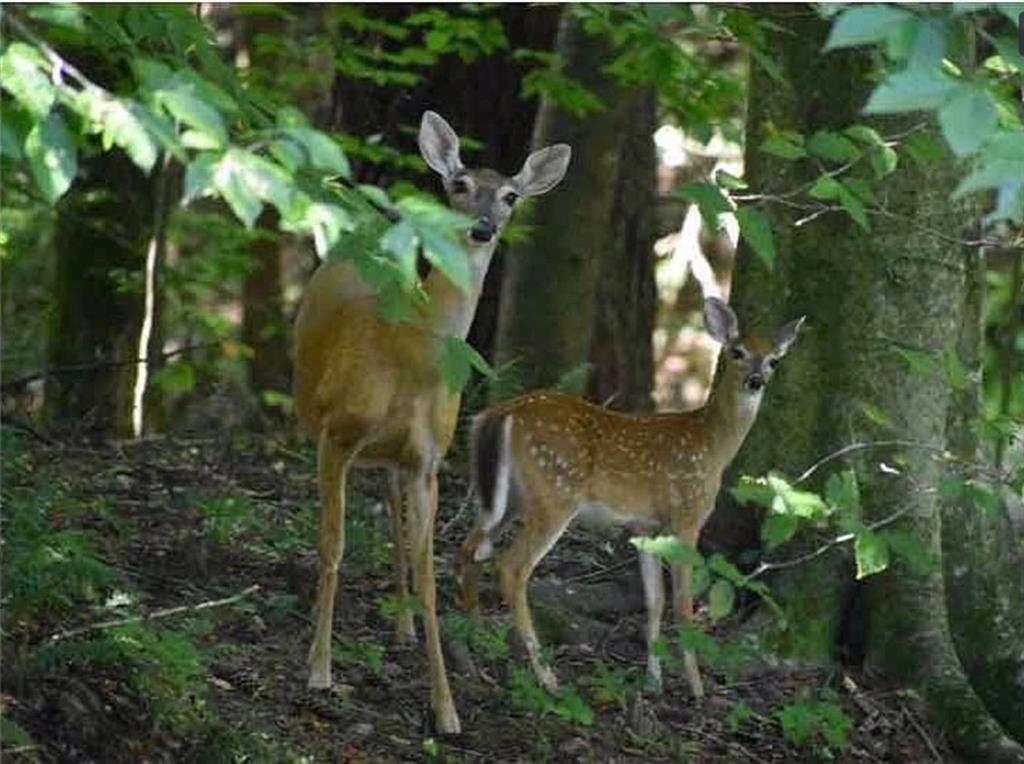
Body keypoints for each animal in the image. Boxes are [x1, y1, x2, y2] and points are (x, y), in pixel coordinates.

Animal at [292, 111, 573, 733]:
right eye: (459, 184)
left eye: (512, 195)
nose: (484, 228)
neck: (410, 357)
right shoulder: (337, 433)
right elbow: (333, 546)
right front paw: (319, 669)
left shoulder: (429, 462)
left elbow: (428, 575)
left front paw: (446, 709)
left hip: (398, 460)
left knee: (395, 518)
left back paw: (403, 629)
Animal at [456, 296, 798, 696]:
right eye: (737, 351)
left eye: (774, 359)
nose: (755, 381)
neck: (711, 445)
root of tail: (502, 413)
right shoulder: (687, 514)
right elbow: (682, 602)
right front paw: (696, 687)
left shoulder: (644, 526)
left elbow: (655, 600)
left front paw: (653, 680)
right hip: (554, 493)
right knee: (511, 567)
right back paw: (547, 677)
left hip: (507, 497)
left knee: (469, 549)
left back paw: (475, 644)